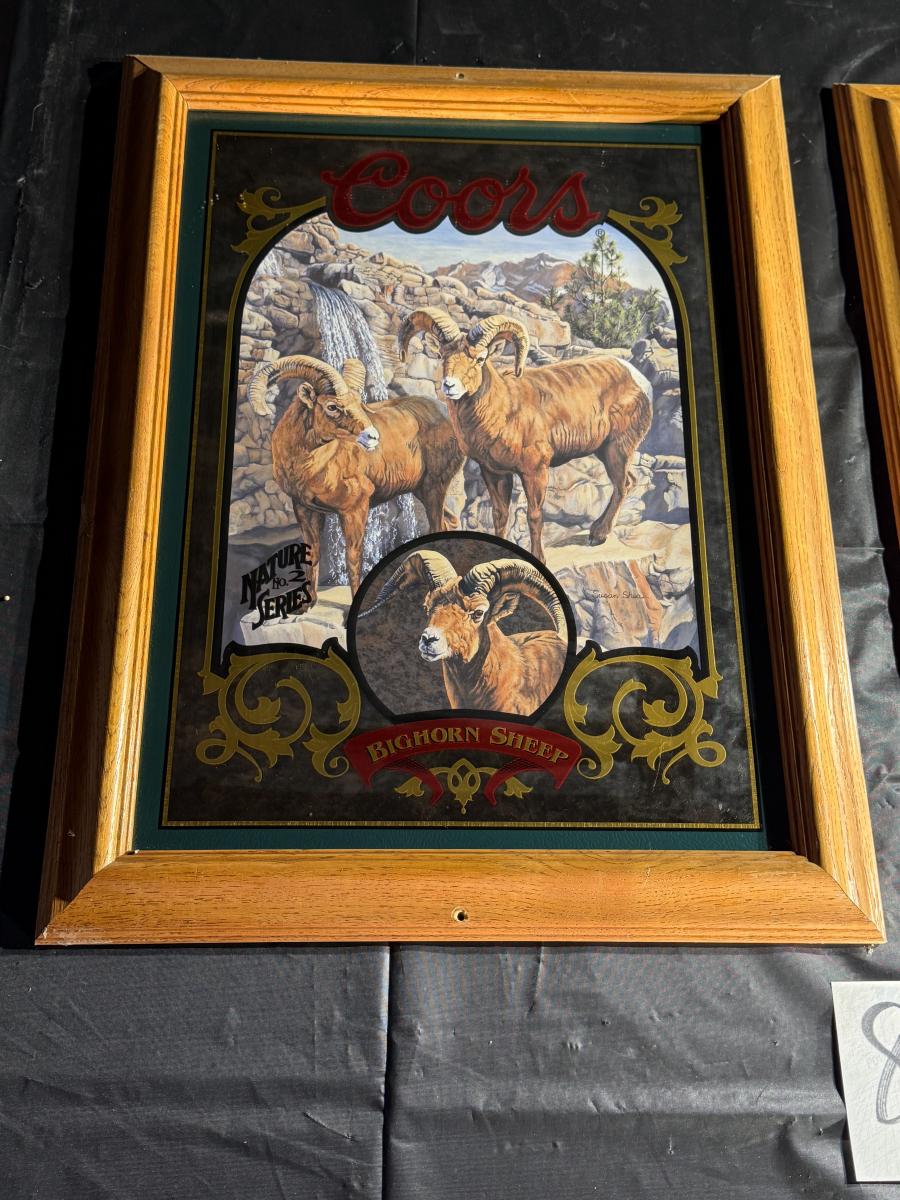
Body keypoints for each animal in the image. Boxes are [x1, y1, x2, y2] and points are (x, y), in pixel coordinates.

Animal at [247, 355, 463, 597]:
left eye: (359, 404)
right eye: (332, 406)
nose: (372, 437)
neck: (309, 466)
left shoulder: (354, 509)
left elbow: (353, 557)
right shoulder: (305, 510)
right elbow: (313, 555)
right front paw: (309, 603)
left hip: (434, 489)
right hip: (423, 492)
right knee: (451, 521)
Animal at [400, 308, 653, 563]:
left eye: (480, 359)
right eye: (442, 355)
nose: (449, 385)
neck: (504, 411)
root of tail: (639, 380)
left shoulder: (535, 471)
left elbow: (534, 515)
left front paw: (539, 558)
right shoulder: (494, 473)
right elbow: (500, 514)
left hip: (617, 449)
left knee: (623, 484)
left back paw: (598, 535)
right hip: (606, 452)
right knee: (629, 481)